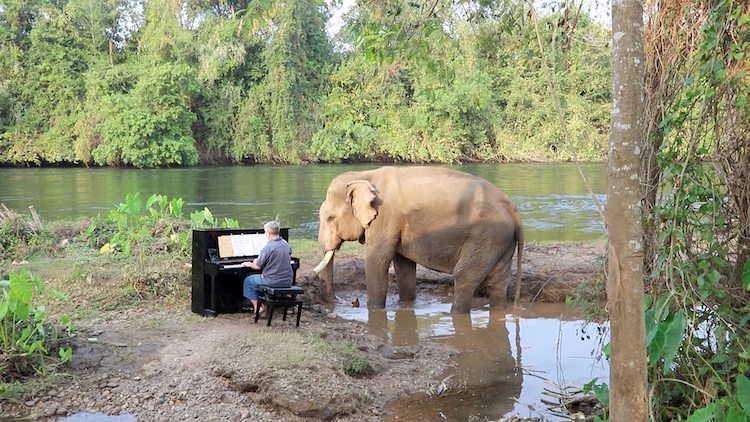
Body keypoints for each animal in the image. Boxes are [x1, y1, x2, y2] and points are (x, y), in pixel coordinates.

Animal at [314, 166, 524, 314]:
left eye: (330, 218)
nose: (350, 302)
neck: (365, 175)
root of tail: (513, 208)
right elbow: (403, 264)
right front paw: (406, 304)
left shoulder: (386, 218)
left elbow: (377, 260)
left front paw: (373, 309)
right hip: (500, 241)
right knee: (498, 282)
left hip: (486, 236)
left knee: (464, 276)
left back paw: (455, 313)